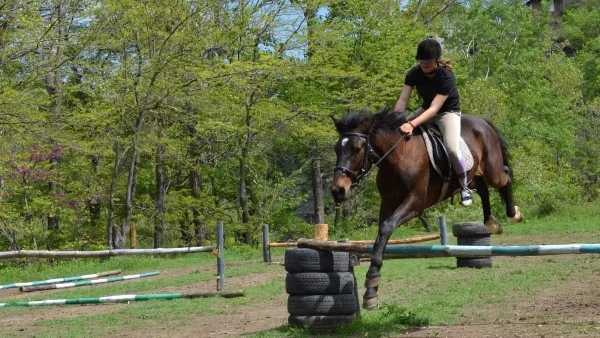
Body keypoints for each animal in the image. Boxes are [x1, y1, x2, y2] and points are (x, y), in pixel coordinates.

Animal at [330, 109, 524, 310]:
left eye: (357, 149)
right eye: (336, 149)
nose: (338, 190)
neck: (397, 156)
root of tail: (482, 121)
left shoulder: (415, 204)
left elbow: (387, 227)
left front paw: (371, 282)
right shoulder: (388, 204)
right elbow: (381, 235)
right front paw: (371, 291)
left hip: (492, 169)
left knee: (505, 175)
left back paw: (514, 213)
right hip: (472, 176)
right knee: (483, 187)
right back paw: (491, 222)